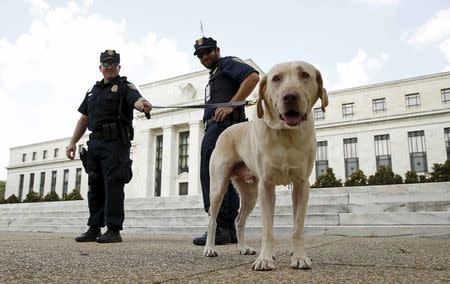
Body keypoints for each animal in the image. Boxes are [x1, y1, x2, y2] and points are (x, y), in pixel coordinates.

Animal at [203, 60, 326, 270]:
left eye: (304, 74)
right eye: (276, 78)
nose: (290, 96)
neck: (286, 134)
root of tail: (227, 130)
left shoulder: (301, 185)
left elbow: (298, 227)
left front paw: (299, 256)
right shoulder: (266, 186)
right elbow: (268, 228)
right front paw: (265, 259)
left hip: (250, 193)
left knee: (239, 220)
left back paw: (243, 248)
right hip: (219, 186)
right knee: (212, 218)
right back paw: (210, 248)